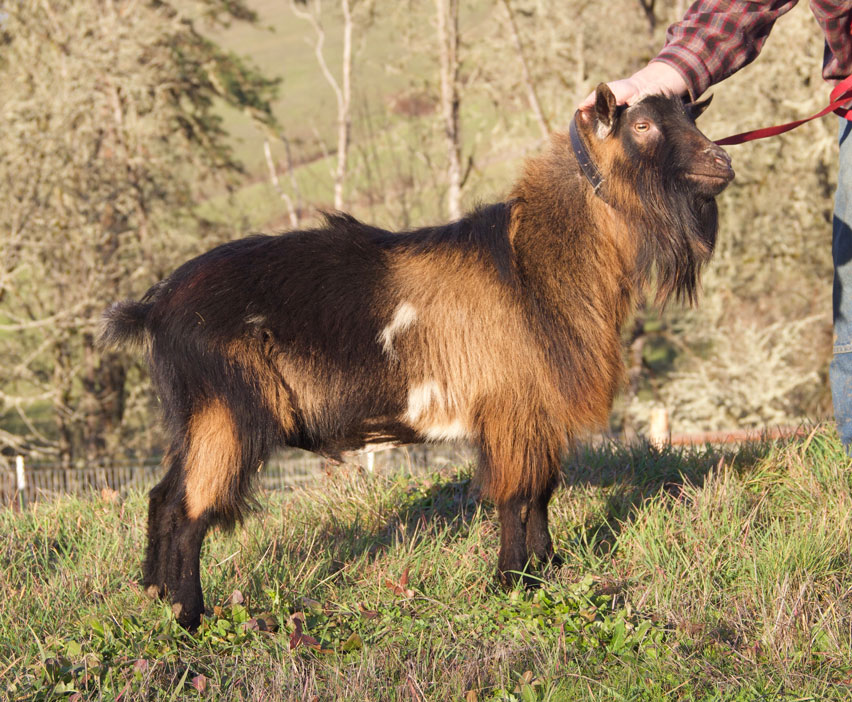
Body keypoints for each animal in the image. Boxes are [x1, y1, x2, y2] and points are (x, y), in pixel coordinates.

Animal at [100, 85, 736, 628]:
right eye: (644, 124)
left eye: (692, 115)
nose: (721, 163)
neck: (533, 264)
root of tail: (154, 307)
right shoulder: (510, 406)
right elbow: (514, 495)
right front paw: (512, 581)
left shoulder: (537, 412)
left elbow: (542, 492)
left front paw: (547, 569)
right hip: (226, 410)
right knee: (189, 511)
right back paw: (190, 616)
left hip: (193, 415)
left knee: (162, 497)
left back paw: (154, 593)